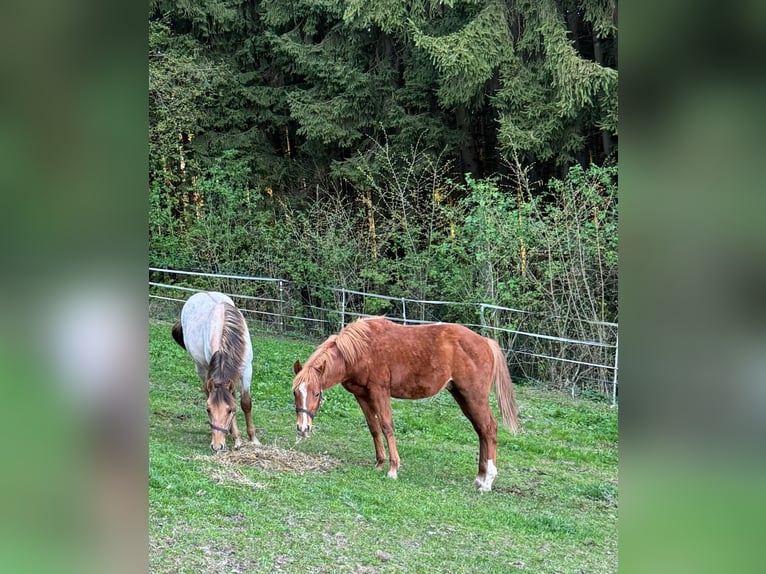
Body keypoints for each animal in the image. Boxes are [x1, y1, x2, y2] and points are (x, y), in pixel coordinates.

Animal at [171, 291, 260, 452]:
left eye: (229, 410)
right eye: (208, 410)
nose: (217, 446)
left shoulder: (247, 370)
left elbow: (245, 403)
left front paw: (253, 439)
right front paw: (237, 439)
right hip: (202, 368)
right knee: (206, 390)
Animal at [292, 317, 519, 491]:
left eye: (316, 393)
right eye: (295, 392)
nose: (303, 428)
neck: (360, 350)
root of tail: (486, 342)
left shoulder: (379, 392)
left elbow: (387, 426)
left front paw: (393, 469)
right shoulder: (362, 395)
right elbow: (374, 428)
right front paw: (379, 463)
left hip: (474, 397)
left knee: (489, 429)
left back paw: (487, 481)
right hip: (462, 396)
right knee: (481, 431)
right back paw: (480, 477)